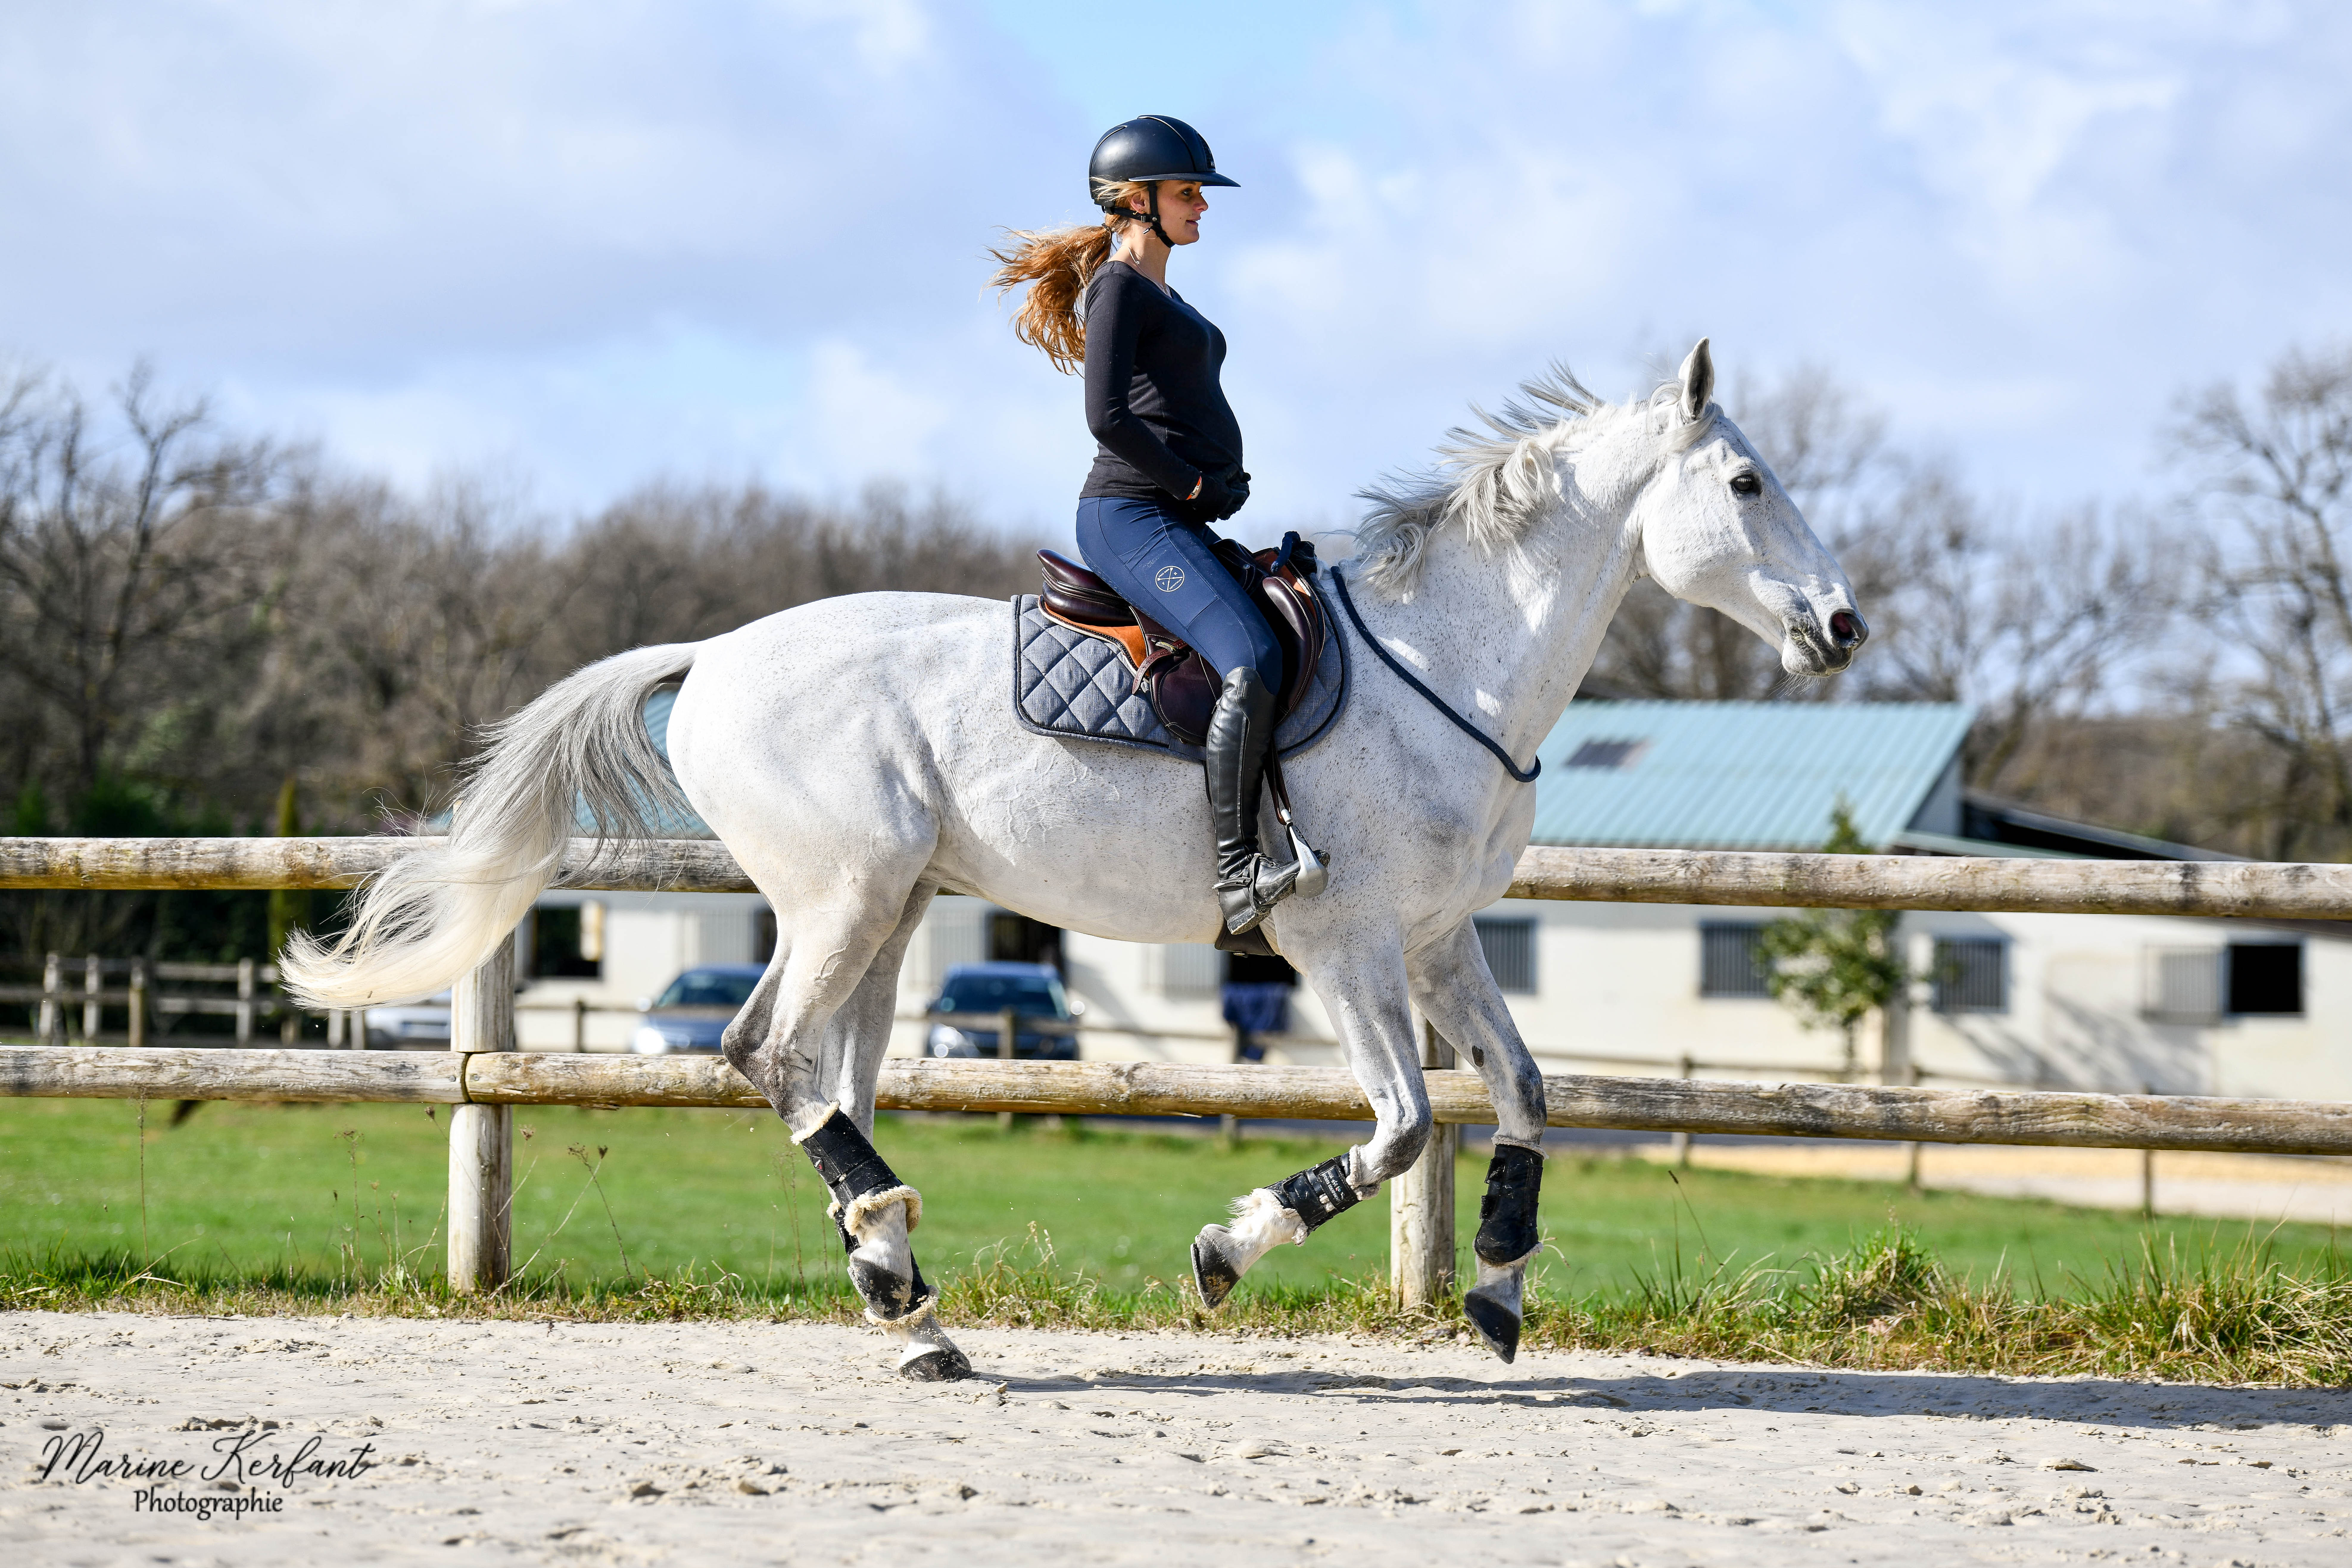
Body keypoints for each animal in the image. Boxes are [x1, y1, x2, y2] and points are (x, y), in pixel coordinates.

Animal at [285, 339, 1868, 1380]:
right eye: (1746, 481)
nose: (1842, 626)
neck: (1444, 667)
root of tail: (713, 655)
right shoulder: (1342, 944)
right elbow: (1406, 1125)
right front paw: (1227, 1251)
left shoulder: (1437, 942)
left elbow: (1526, 1094)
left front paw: (1495, 1290)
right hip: (844, 896)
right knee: (767, 1053)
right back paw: (899, 1276)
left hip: (888, 915)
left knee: (825, 1075)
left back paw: (904, 1297)